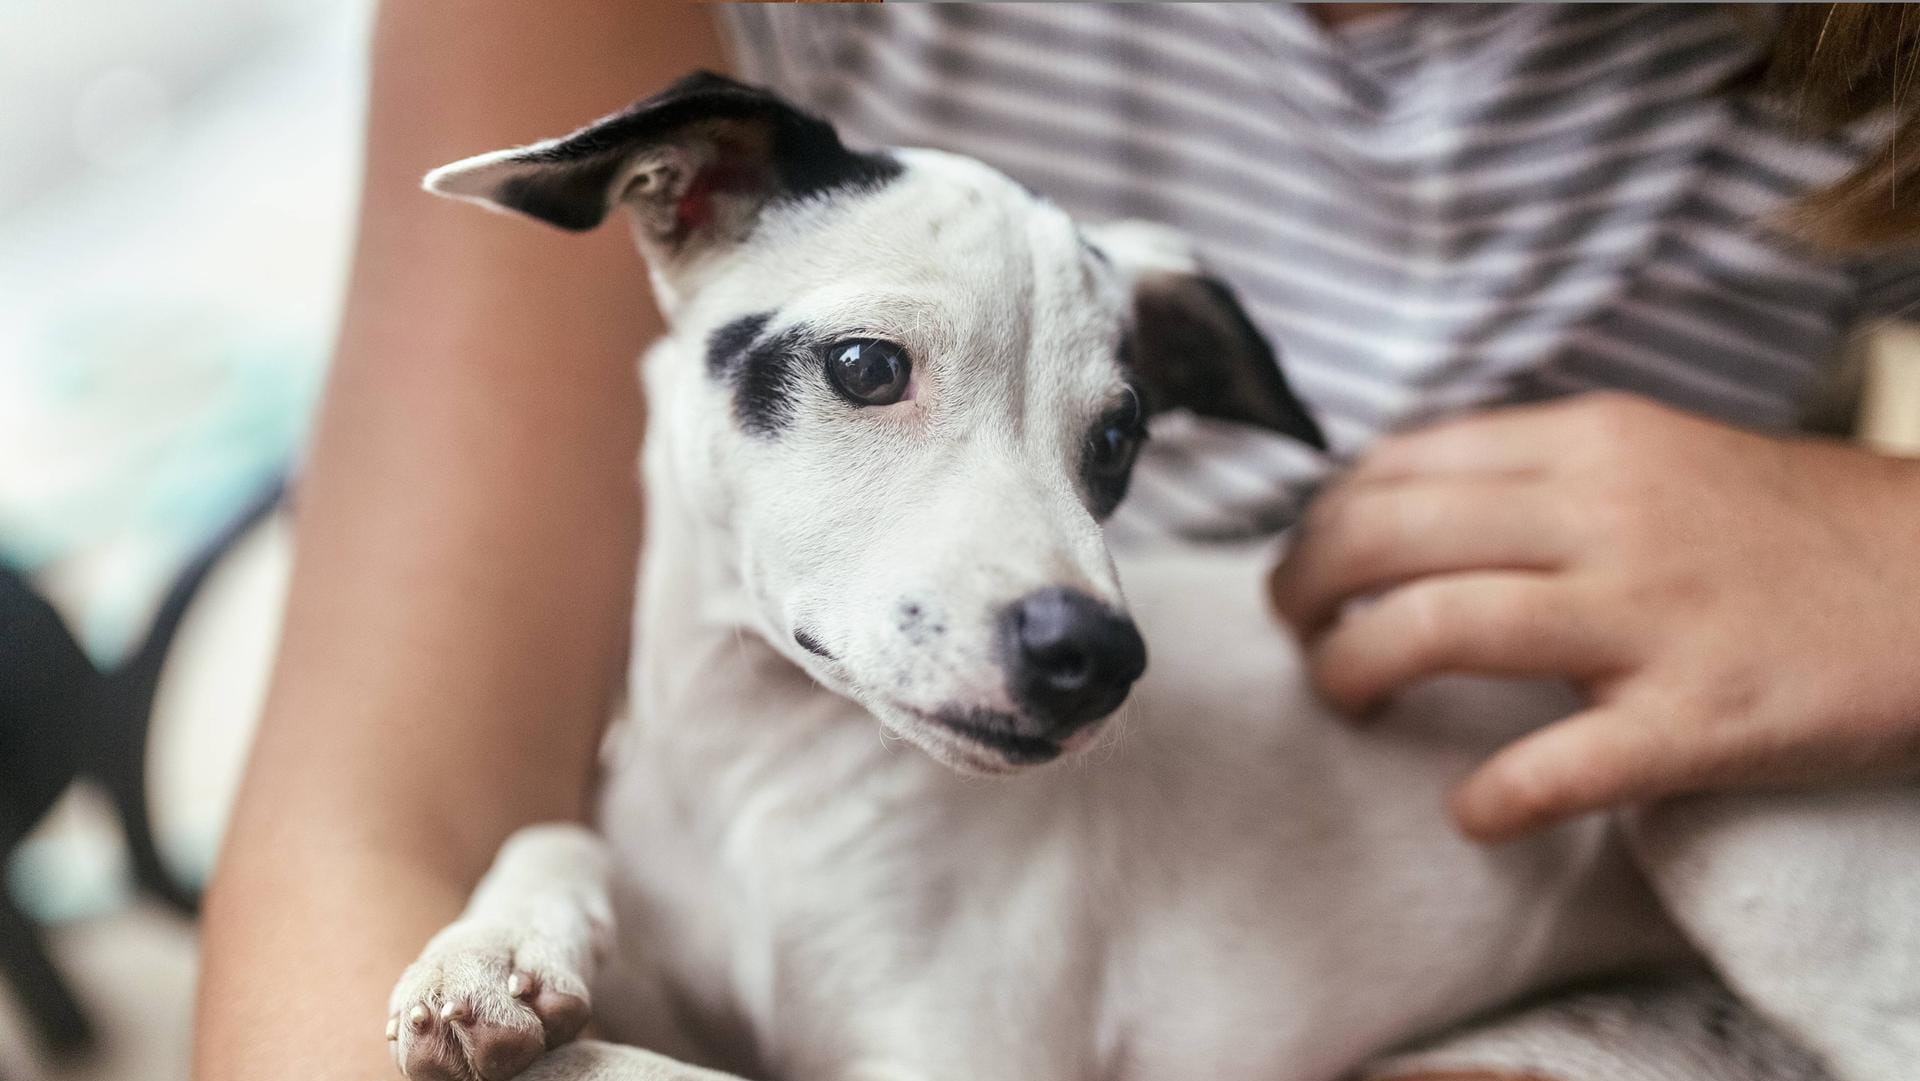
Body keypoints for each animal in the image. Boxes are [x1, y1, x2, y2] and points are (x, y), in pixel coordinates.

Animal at [385, 73, 1920, 1081]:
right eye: (867, 367)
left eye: (1116, 441)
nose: (1095, 661)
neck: (758, 789)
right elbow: (557, 841)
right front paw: (489, 955)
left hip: (1731, 835)